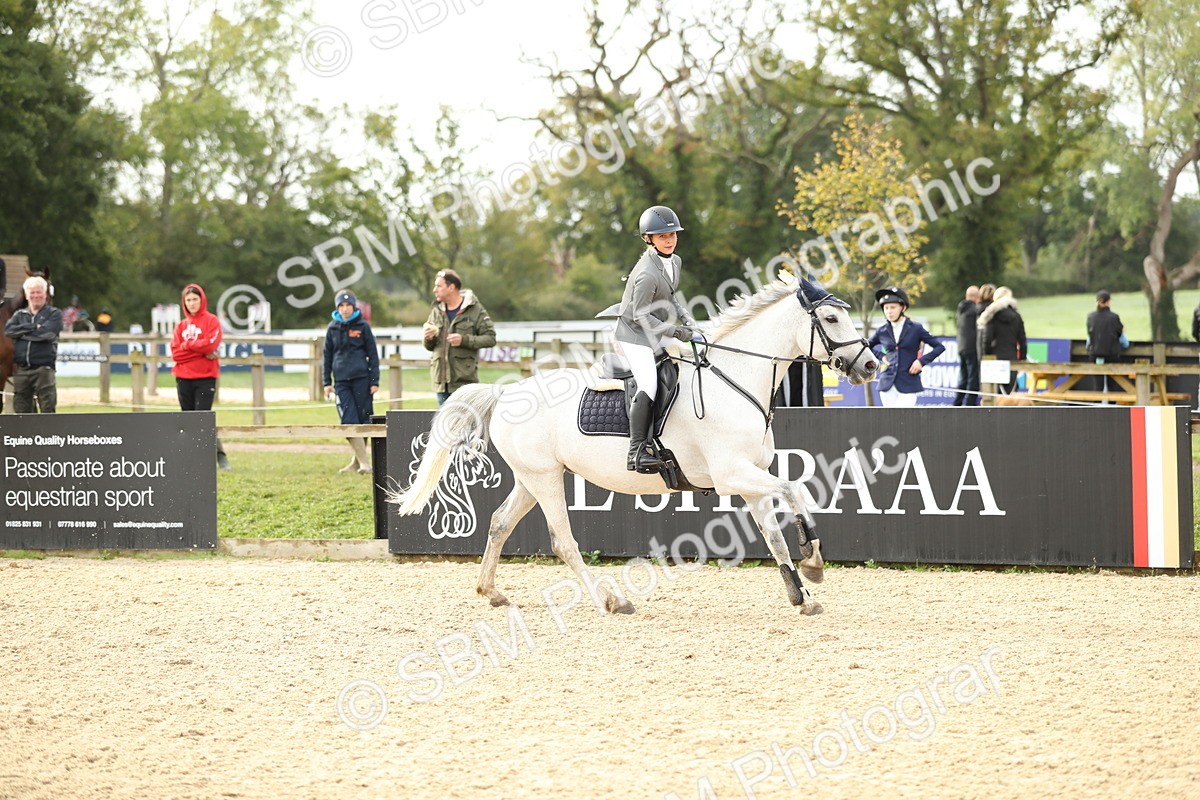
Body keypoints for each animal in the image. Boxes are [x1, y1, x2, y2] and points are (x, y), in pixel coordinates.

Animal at [392, 278, 878, 615]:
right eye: (831, 320)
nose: (872, 365)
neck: (735, 381)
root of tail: (506, 391)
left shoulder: (750, 479)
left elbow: (775, 534)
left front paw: (803, 591)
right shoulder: (731, 474)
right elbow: (795, 489)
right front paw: (814, 561)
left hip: (532, 479)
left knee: (498, 524)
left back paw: (491, 592)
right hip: (545, 479)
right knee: (563, 542)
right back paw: (610, 600)